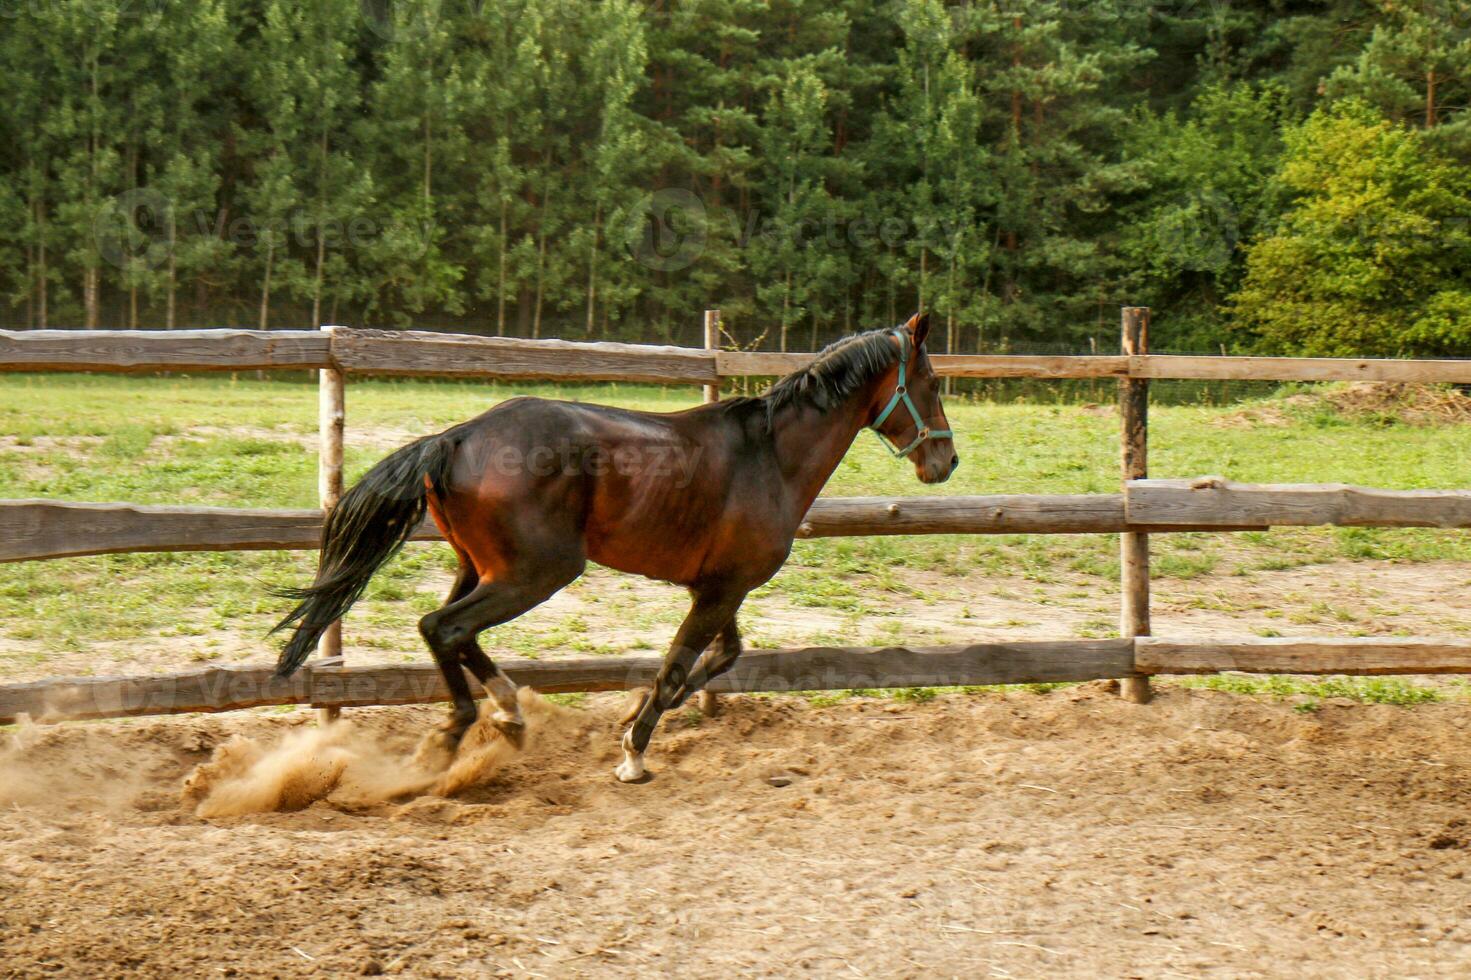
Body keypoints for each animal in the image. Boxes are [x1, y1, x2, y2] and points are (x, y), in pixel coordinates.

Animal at [273, 313, 964, 776]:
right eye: (932, 383)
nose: (947, 461)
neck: (770, 456)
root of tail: (456, 437)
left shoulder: (720, 586)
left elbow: (718, 659)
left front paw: (630, 718)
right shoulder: (722, 589)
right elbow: (678, 665)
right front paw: (633, 751)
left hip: (478, 565)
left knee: (445, 629)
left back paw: (504, 712)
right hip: (537, 572)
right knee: (444, 627)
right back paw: (465, 730)